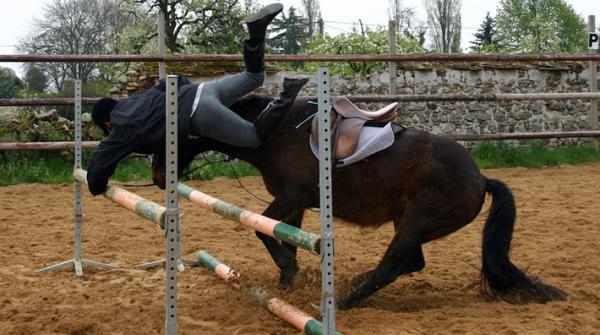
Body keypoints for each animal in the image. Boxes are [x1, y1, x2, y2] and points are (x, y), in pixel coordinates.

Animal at [152, 93, 564, 312]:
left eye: (173, 132)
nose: (157, 176)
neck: (274, 132)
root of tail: (480, 178)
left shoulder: (291, 197)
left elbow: (263, 231)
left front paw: (292, 273)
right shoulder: (294, 204)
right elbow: (281, 236)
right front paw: (290, 279)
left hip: (417, 221)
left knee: (393, 266)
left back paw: (344, 300)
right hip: (408, 222)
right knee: (410, 262)